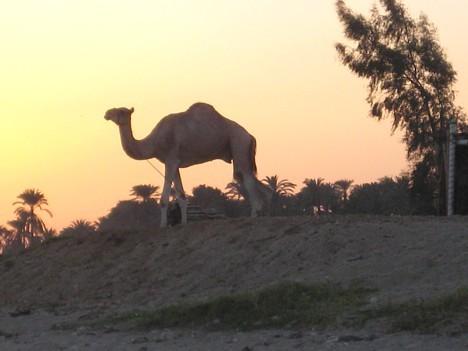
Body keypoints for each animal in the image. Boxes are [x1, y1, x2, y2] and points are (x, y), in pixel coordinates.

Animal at [102, 102, 270, 228]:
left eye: (121, 111)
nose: (107, 113)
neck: (154, 142)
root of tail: (250, 136)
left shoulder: (170, 160)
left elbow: (164, 198)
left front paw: (163, 225)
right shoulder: (175, 162)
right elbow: (181, 196)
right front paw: (183, 222)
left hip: (239, 144)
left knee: (246, 178)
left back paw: (254, 214)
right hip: (239, 151)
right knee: (251, 180)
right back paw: (265, 210)